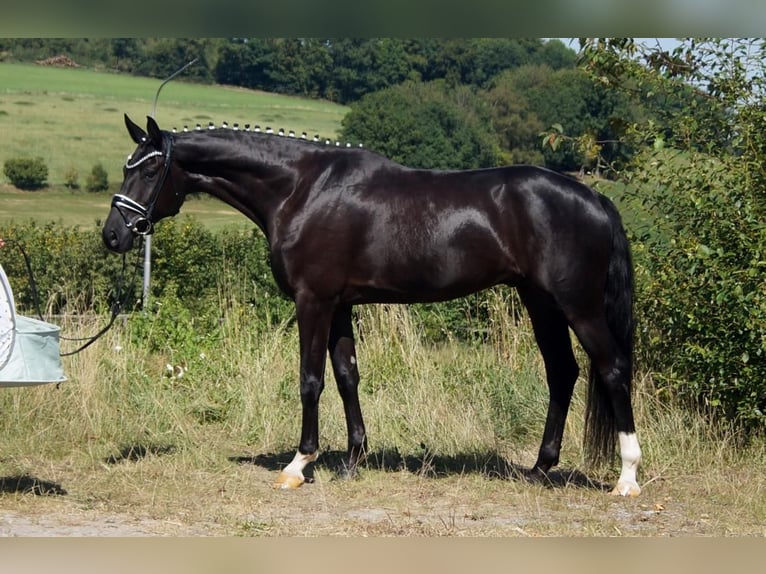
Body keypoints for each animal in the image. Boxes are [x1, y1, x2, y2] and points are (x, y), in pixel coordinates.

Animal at [102, 114, 642, 497]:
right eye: (128, 166)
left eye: (150, 167)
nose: (113, 235)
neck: (300, 188)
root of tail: (595, 198)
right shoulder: (341, 305)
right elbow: (347, 376)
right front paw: (353, 459)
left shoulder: (314, 301)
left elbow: (311, 380)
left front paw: (299, 464)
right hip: (541, 302)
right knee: (562, 372)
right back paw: (539, 468)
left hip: (578, 307)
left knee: (612, 368)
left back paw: (627, 478)